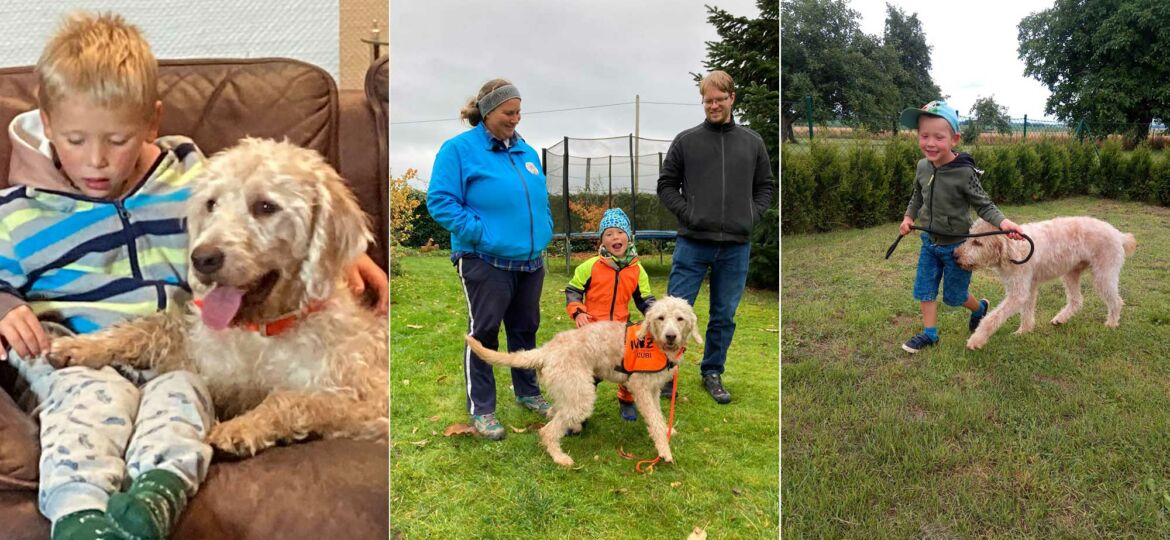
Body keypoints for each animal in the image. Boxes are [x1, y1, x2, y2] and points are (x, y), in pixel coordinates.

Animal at [49, 137, 388, 455]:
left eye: (266, 206)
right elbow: (150, 327)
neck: (259, 331)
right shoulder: (201, 361)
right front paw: (82, 346)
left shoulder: (370, 403)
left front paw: (241, 427)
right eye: (211, 204)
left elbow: (295, 398)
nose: (202, 258)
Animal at [467, 295, 702, 467]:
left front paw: (668, 432)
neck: (653, 341)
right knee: (548, 430)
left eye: (680, 319)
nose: (671, 336)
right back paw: (559, 457)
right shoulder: (641, 388)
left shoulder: (653, 390)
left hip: (569, 390)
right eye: (660, 318)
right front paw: (664, 450)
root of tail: (547, 350)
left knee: (555, 411)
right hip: (581, 395)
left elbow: (659, 417)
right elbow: (655, 420)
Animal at [954, 216, 1137, 350]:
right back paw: (1060, 319)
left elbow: (992, 318)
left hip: (1103, 275)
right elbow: (1026, 312)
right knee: (1076, 300)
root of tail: (1119, 235)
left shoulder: (1019, 293)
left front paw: (976, 340)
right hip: (1071, 273)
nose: (955, 255)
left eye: (978, 243)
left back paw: (1111, 324)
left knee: (1116, 301)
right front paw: (1024, 331)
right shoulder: (1028, 288)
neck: (1013, 251)